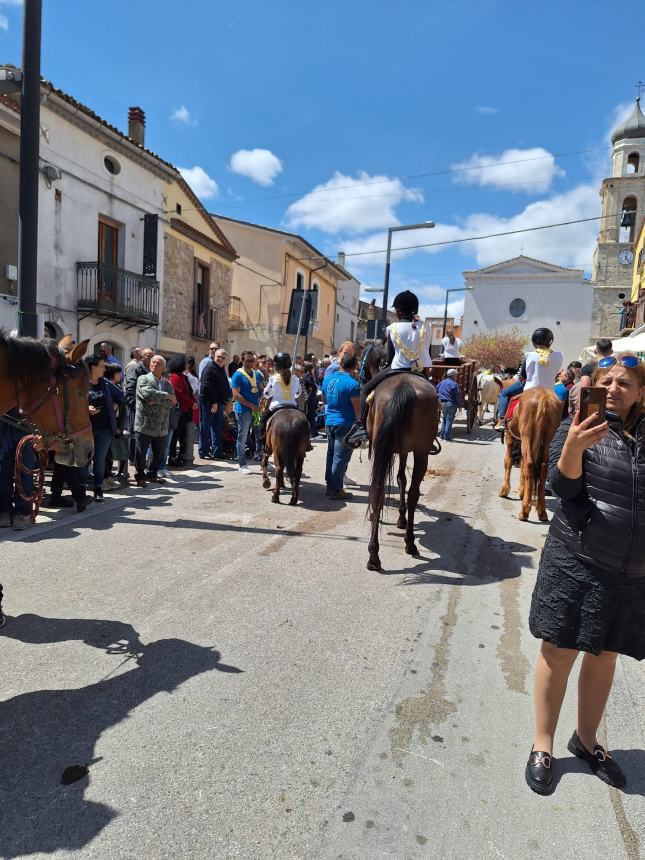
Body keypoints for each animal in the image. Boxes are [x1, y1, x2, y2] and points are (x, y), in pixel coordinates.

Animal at [364, 374, 440, 572]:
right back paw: (409, 543)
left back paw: (374, 556)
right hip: (420, 451)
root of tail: (404, 385)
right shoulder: (404, 450)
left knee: (379, 491)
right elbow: (402, 480)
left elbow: (399, 479)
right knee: (412, 493)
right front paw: (401, 518)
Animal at [498, 386, 560, 520]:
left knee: (529, 465)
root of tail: (544, 397)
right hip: (546, 440)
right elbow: (521, 464)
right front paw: (522, 490)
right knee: (542, 467)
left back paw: (525, 510)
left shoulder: (510, 437)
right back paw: (541, 511)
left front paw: (504, 490)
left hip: (527, 437)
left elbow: (508, 461)